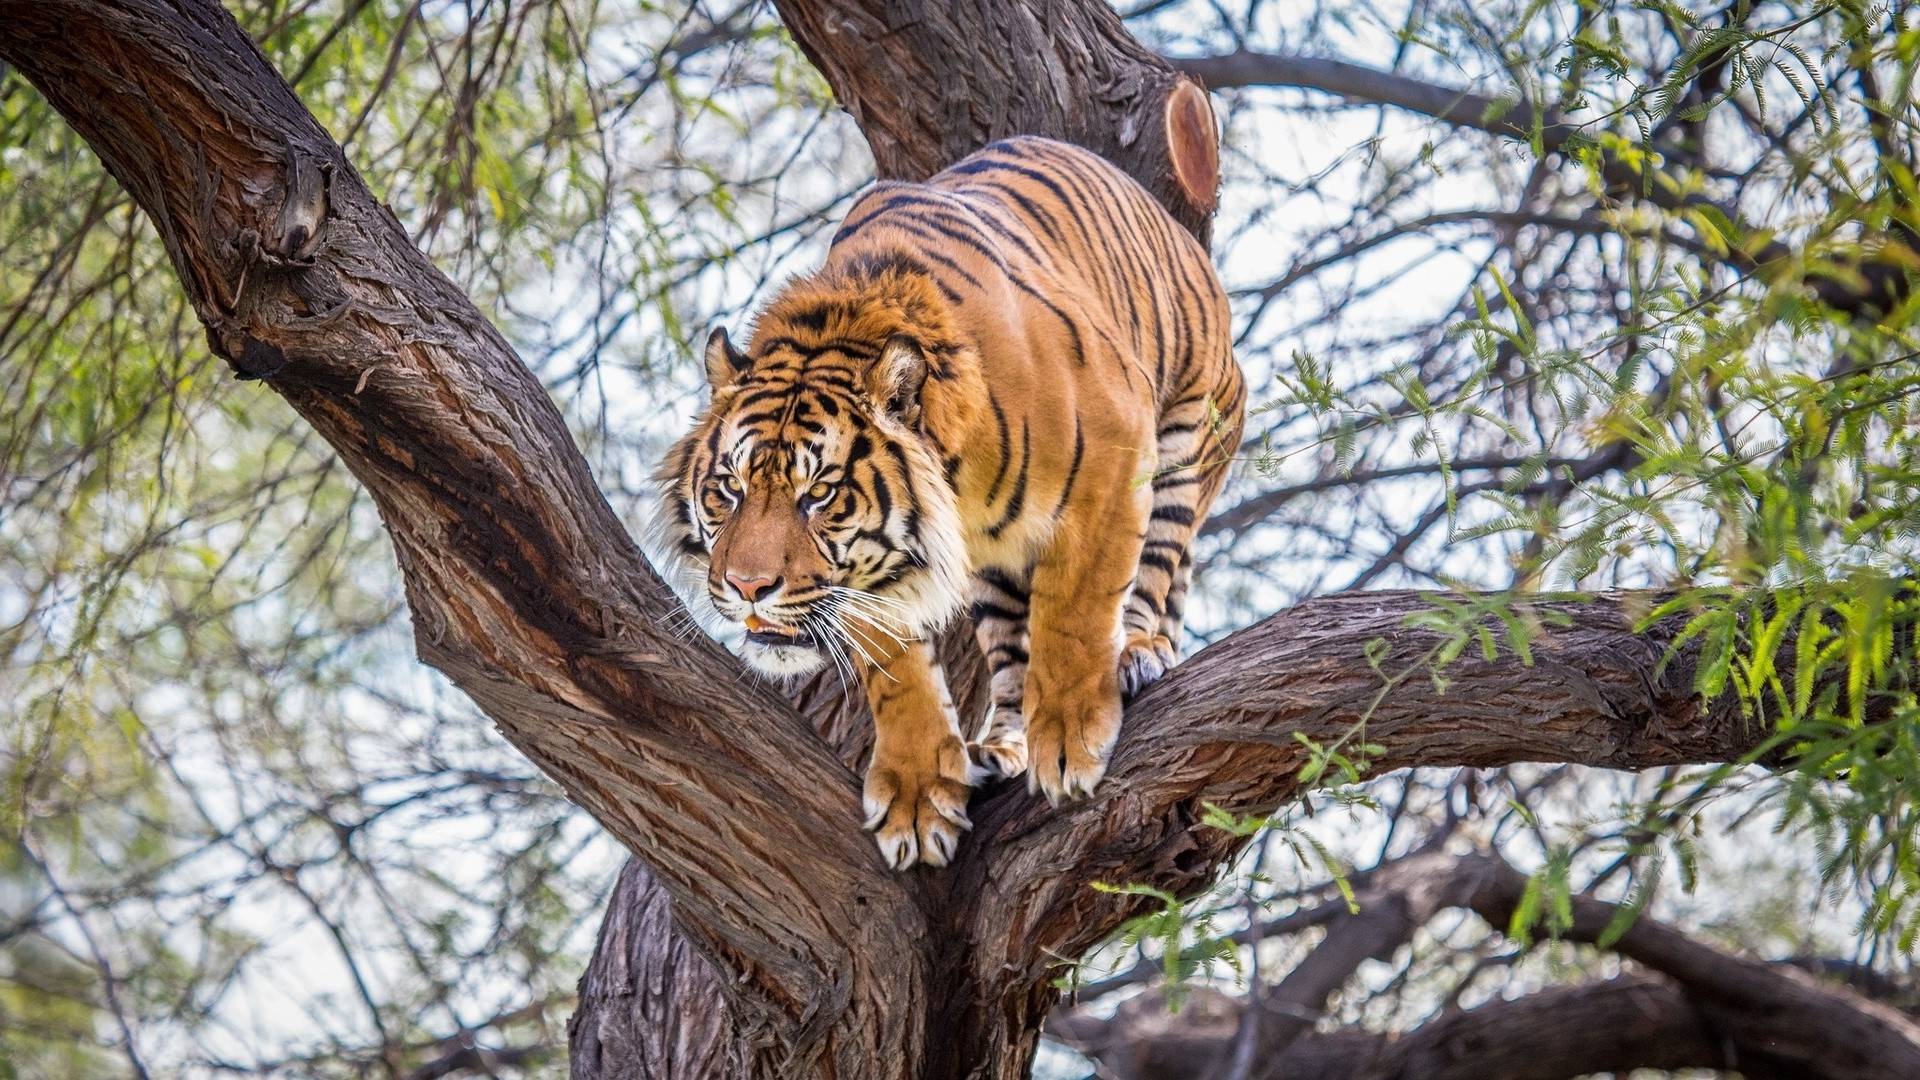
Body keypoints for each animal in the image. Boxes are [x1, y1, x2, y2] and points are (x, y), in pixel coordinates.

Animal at [660, 134, 1244, 864]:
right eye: (730, 489)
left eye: (818, 494)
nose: (746, 587)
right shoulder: (873, 577)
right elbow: (896, 671)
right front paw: (916, 798)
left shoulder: (1114, 457)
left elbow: (1076, 611)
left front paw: (1070, 738)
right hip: (993, 570)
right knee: (1012, 658)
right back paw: (1000, 746)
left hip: (1189, 433)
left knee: (1157, 571)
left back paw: (1135, 654)